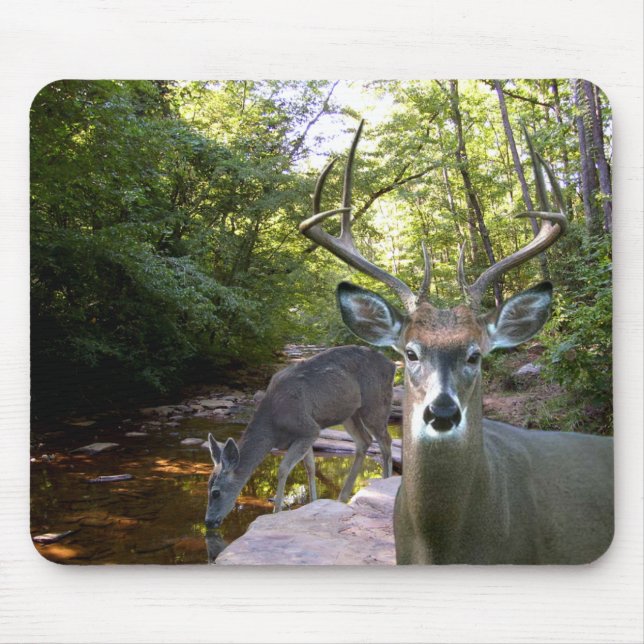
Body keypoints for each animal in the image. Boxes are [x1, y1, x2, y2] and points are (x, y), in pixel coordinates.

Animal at [204, 345, 396, 529]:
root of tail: (392, 366)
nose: (208, 521)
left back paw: (385, 483)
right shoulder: (305, 435)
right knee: (365, 441)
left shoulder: (309, 428)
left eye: (216, 492)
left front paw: (276, 511)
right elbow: (310, 467)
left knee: (385, 441)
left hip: (376, 402)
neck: (273, 427)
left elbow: (283, 468)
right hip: (350, 413)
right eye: (207, 486)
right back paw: (342, 496)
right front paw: (313, 503)